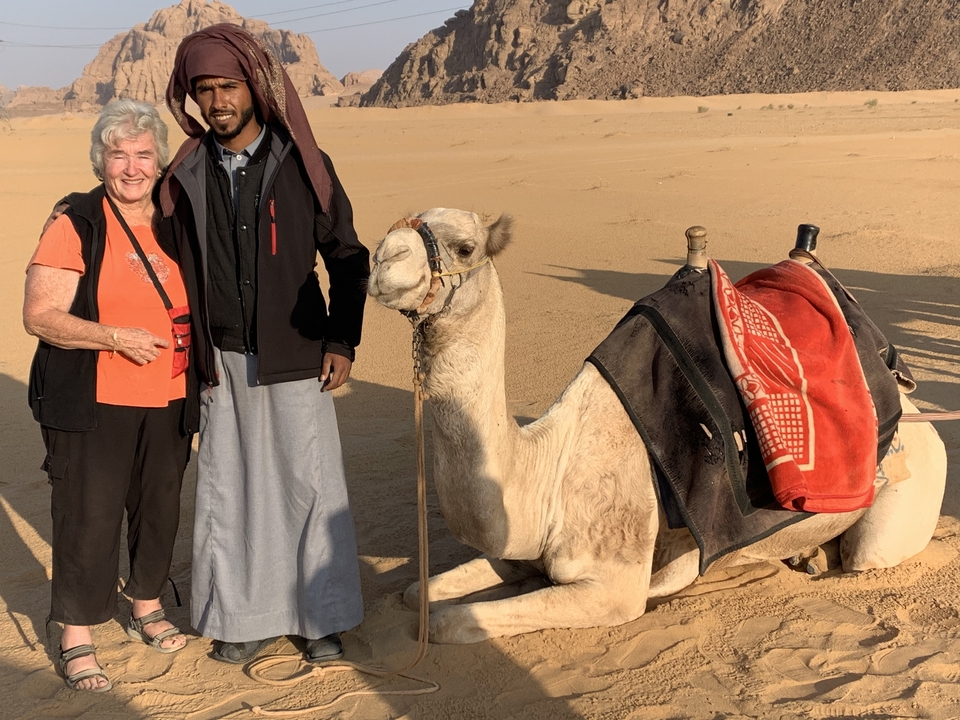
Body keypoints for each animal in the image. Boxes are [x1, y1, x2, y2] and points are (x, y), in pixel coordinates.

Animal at [367, 208, 947, 644]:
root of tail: (923, 415)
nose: (383, 258)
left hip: (902, 507)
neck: (549, 469)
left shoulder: (612, 588)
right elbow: (417, 593)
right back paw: (800, 555)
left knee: (865, 556)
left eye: (465, 247)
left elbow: (446, 622)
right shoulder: (524, 554)